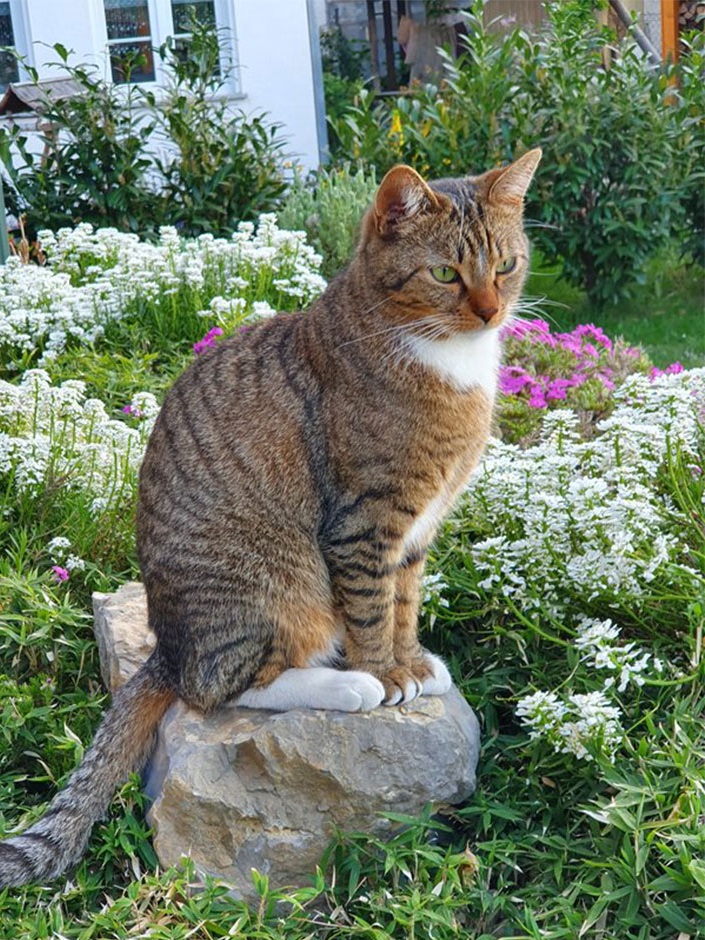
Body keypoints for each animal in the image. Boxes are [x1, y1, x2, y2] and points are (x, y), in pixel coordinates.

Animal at [0, 145, 540, 880]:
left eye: (505, 266)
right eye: (443, 273)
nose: (489, 312)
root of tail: (169, 646)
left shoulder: (416, 527)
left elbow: (404, 600)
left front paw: (411, 659)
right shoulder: (364, 522)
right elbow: (372, 608)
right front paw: (384, 673)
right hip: (280, 580)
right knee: (220, 689)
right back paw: (344, 688)